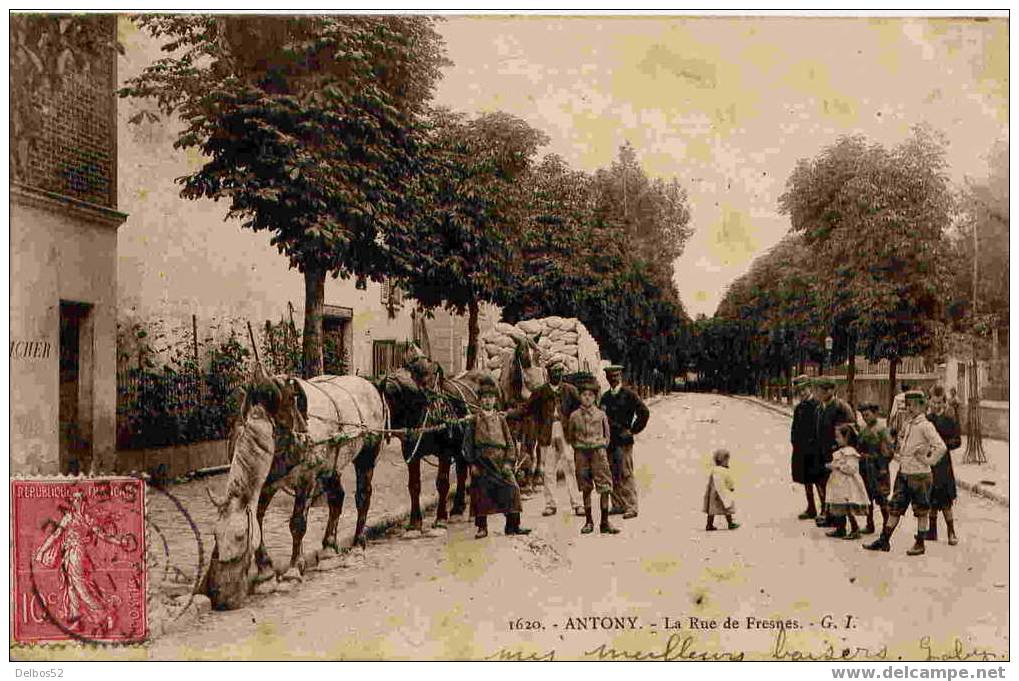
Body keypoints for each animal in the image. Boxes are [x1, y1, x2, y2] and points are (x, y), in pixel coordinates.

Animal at [200, 373, 383, 611]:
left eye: (240, 536)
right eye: (215, 534)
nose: (221, 597)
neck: (274, 424)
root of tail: (368, 383)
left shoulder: (306, 479)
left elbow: (297, 524)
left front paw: (294, 570)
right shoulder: (267, 485)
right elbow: (259, 523)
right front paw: (265, 576)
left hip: (367, 456)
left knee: (363, 497)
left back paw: (357, 546)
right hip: (331, 467)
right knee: (336, 499)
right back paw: (328, 551)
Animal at [381, 358, 491, 530]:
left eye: (388, 400)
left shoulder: (445, 452)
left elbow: (442, 483)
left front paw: (440, 517)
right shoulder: (411, 453)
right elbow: (414, 485)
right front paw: (415, 522)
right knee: (461, 472)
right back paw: (457, 508)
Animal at [499, 334, 550, 489]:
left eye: (539, 354)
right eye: (521, 353)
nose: (538, 388)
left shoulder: (530, 416)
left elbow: (530, 444)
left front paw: (527, 475)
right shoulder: (510, 416)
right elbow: (513, 442)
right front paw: (515, 472)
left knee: (537, 444)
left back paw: (537, 474)